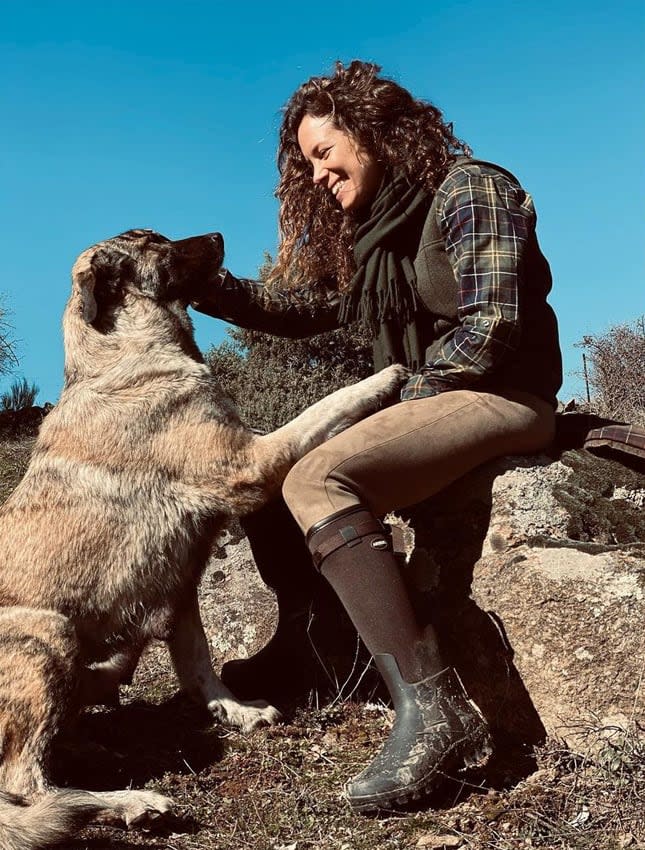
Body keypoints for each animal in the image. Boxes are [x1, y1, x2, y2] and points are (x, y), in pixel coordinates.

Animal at [0, 229, 406, 844]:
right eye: (152, 241)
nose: (217, 237)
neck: (124, 353)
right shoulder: (250, 461)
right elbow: (320, 410)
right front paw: (383, 379)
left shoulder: (181, 584)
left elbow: (198, 660)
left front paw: (232, 710)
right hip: (47, 633)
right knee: (24, 784)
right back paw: (127, 802)